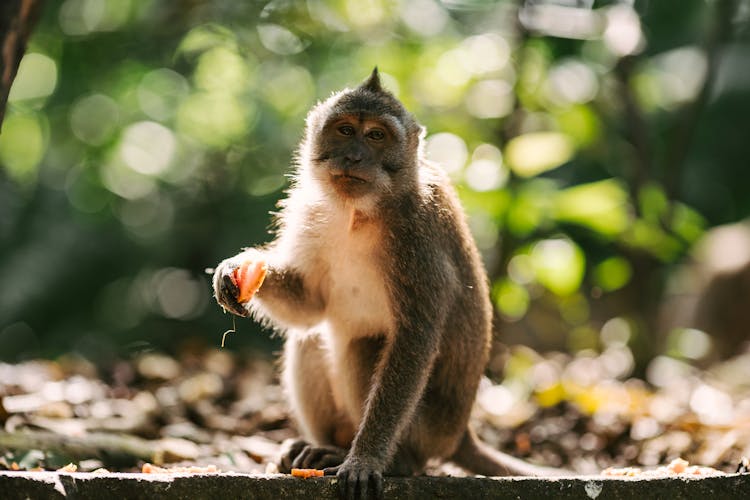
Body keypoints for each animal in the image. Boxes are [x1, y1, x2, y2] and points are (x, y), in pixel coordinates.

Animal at [214, 68, 560, 498]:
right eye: (345, 130)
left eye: (377, 136)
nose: (353, 156)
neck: (358, 211)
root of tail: (460, 434)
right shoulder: (308, 210)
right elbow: (310, 303)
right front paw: (236, 270)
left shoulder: (417, 235)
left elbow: (414, 339)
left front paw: (365, 461)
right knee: (310, 337)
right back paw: (321, 447)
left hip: (428, 428)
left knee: (364, 347)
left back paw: (392, 461)